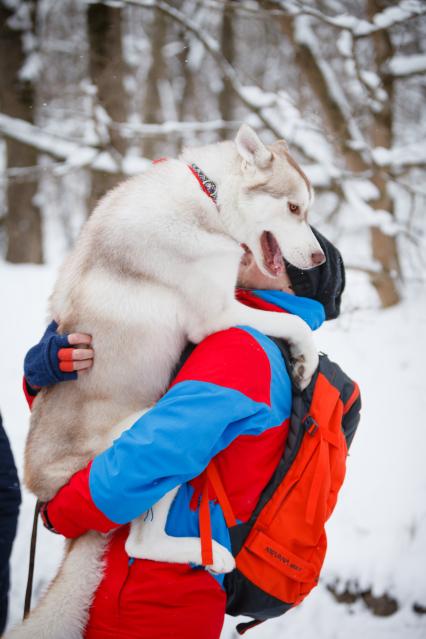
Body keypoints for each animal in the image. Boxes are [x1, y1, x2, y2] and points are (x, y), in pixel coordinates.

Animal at [6, 125, 324, 639]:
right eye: (295, 209)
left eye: (308, 210)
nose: (317, 259)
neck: (209, 202)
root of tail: (43, 490)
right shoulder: (217, 315)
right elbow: (296, 324)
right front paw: (307, 358)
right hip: (147, 438)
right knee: (140, 539)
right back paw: (208, 555)